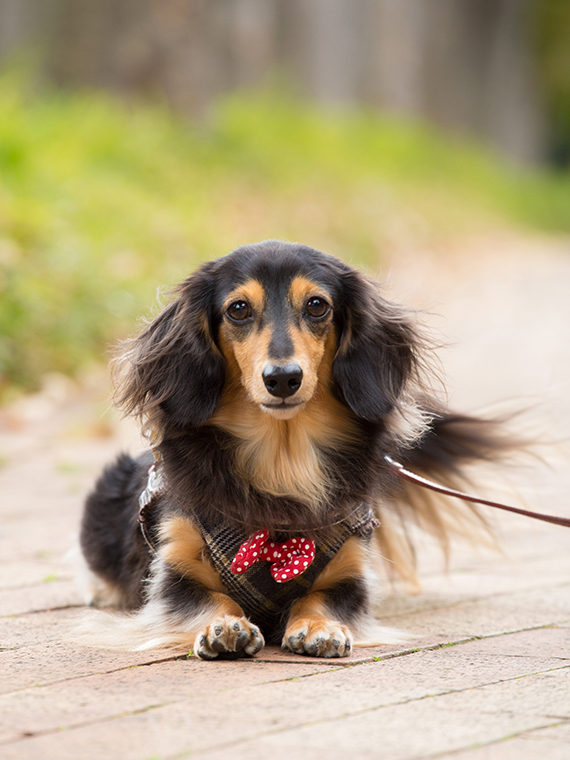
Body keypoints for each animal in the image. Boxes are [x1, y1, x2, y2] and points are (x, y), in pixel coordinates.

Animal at [77, 242, 508, 660]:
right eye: (238, 309)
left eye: (317, 305)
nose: (283, 378)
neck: (282, 461)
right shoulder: (173, 572)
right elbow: (209, 599)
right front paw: (224, 626)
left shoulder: (351, 571)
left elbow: (320, 598)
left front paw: (320, 627)